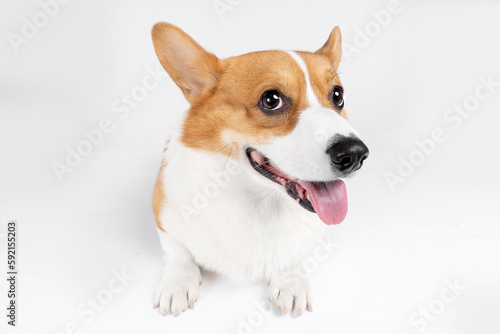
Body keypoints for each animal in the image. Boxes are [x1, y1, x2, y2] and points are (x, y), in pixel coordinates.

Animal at [150, 22, 370, 316]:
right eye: (271, 100)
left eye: (338, 95)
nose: (355, 154)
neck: (259, 202)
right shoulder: (163, 215)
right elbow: (178, 251)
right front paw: (178, 282)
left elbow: (291, 257)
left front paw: (290, 282)